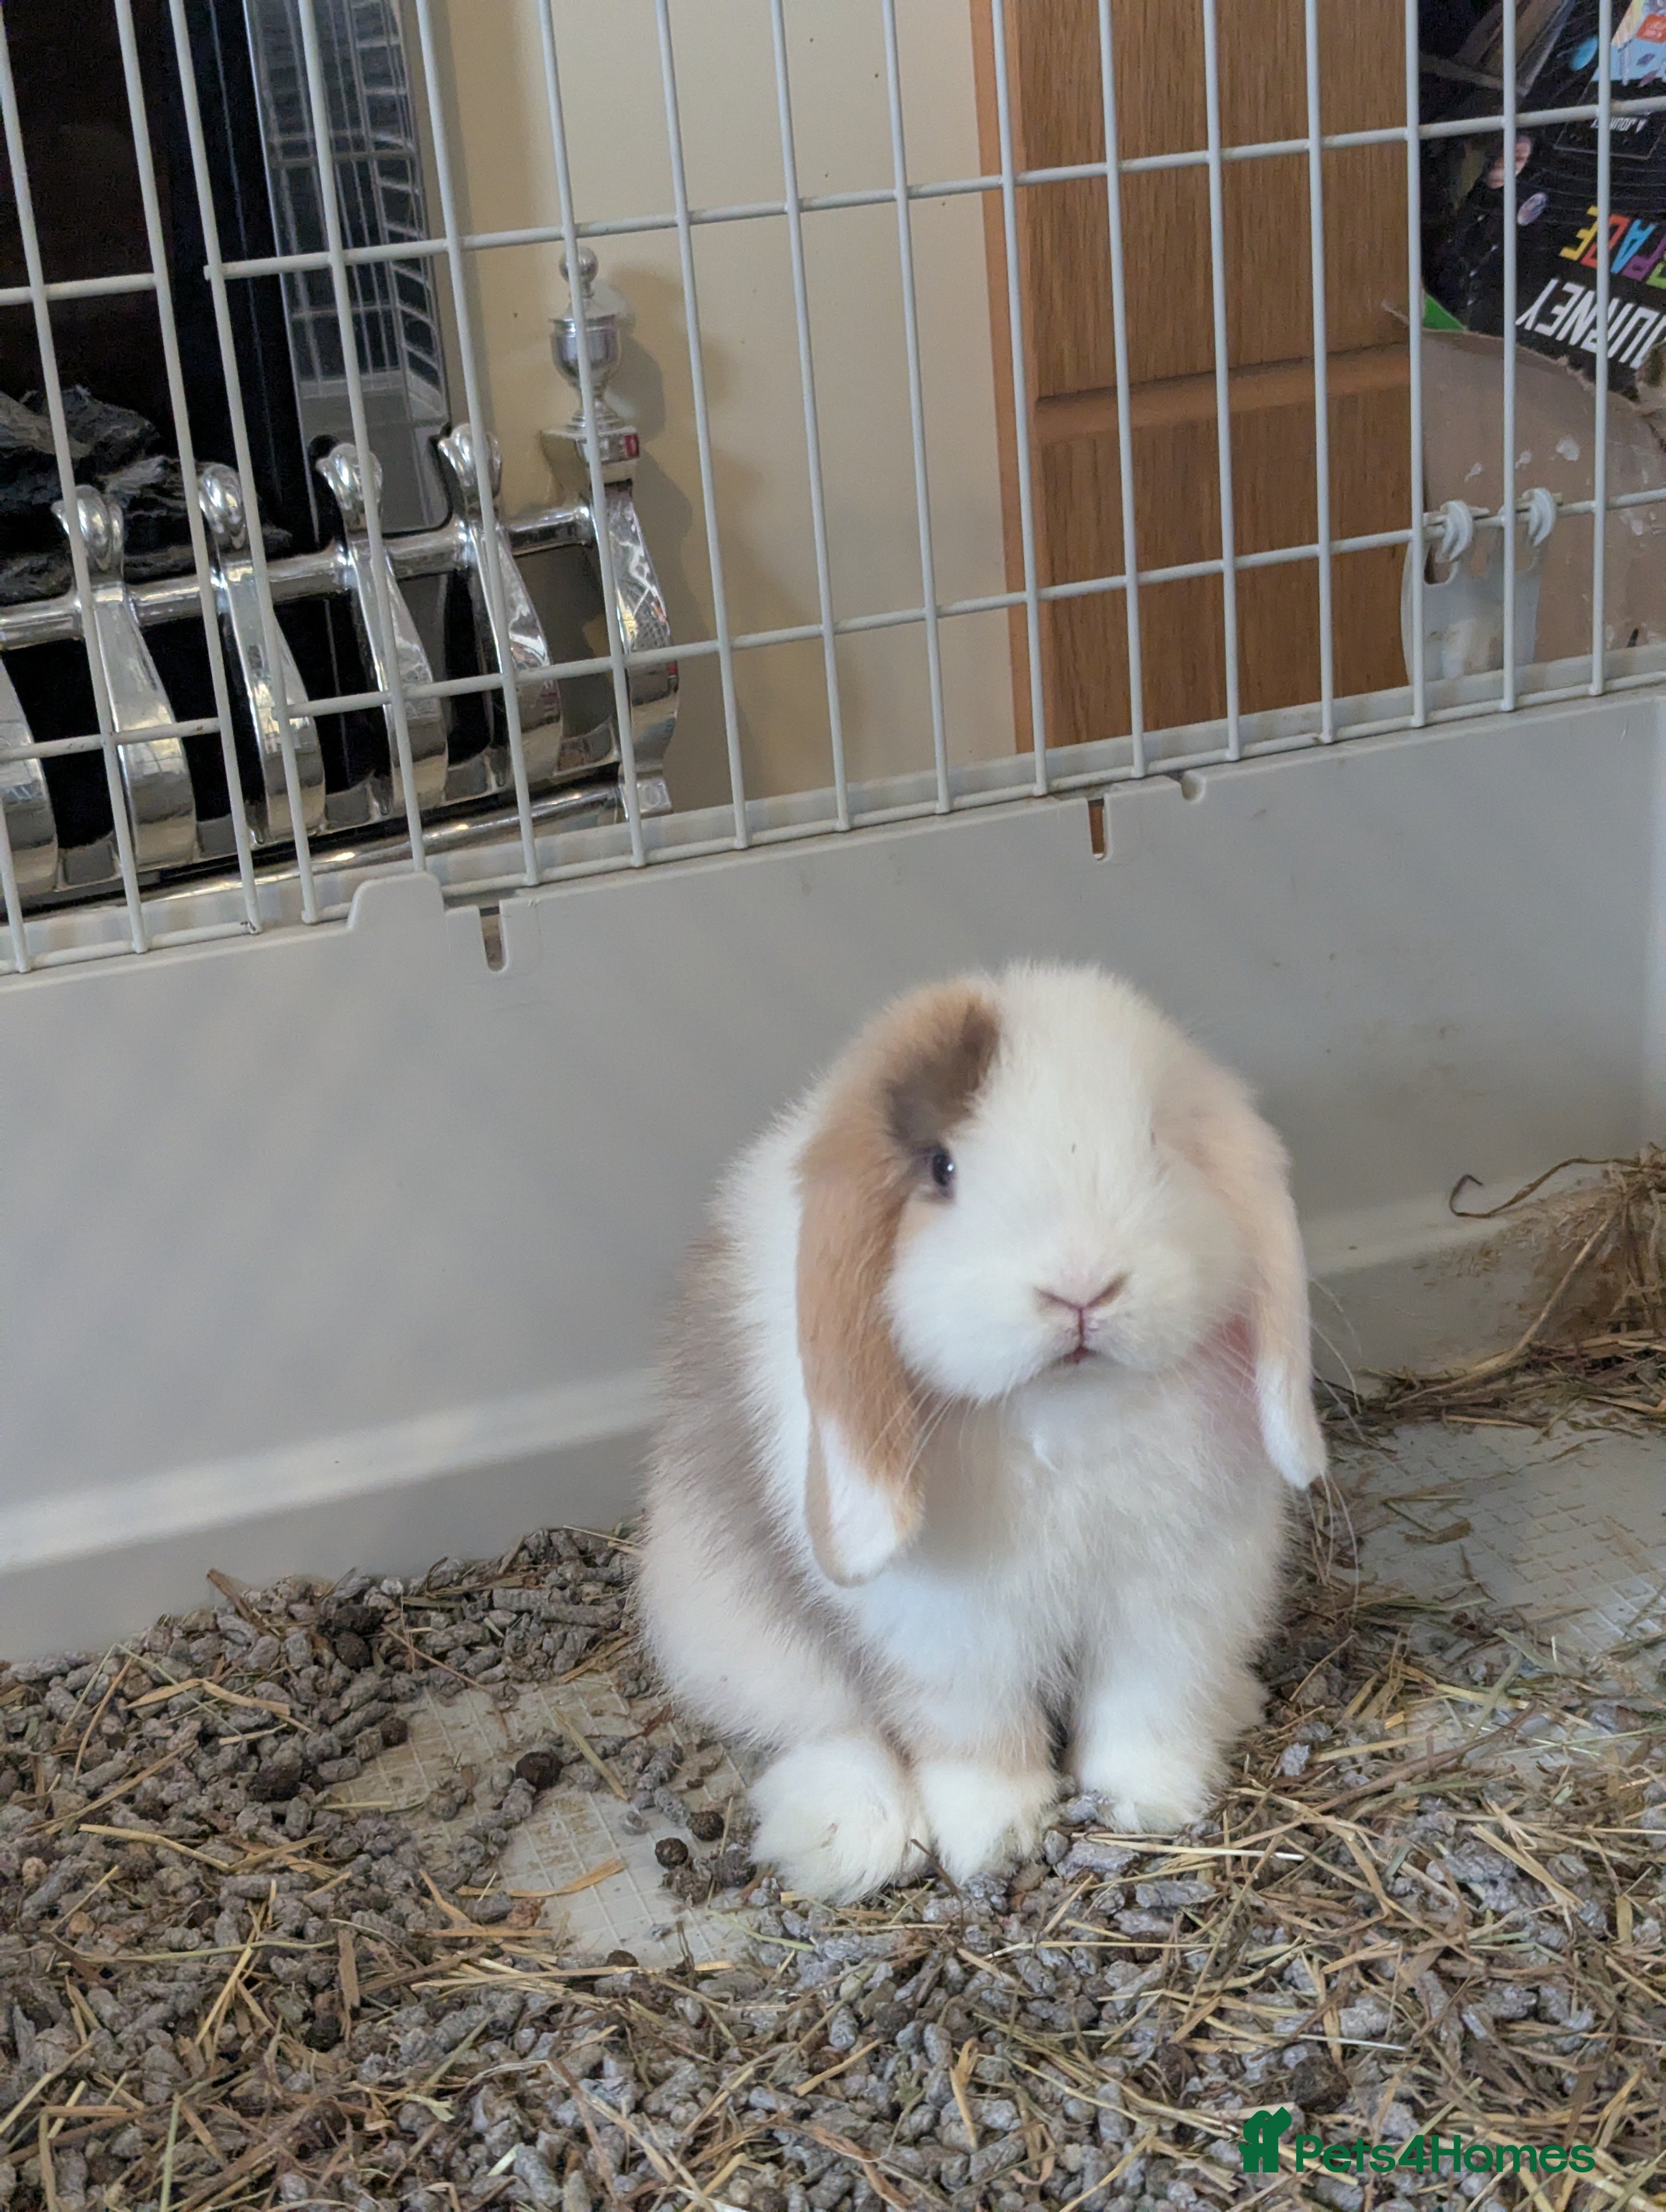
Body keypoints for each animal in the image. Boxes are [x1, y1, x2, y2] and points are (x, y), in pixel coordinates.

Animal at [637, 961, 1325, 1902]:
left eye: (1157, 1143)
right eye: (943, 1167)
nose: (1082, 1286)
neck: (1065, 1415)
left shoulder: (1177, 1596)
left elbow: (1147, 1702)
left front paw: (1151, 1801)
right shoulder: (953, 1636)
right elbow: (979, 1740)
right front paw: (995, 1840)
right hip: (730, 1634)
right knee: (825, 1729)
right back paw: (855, 1838)